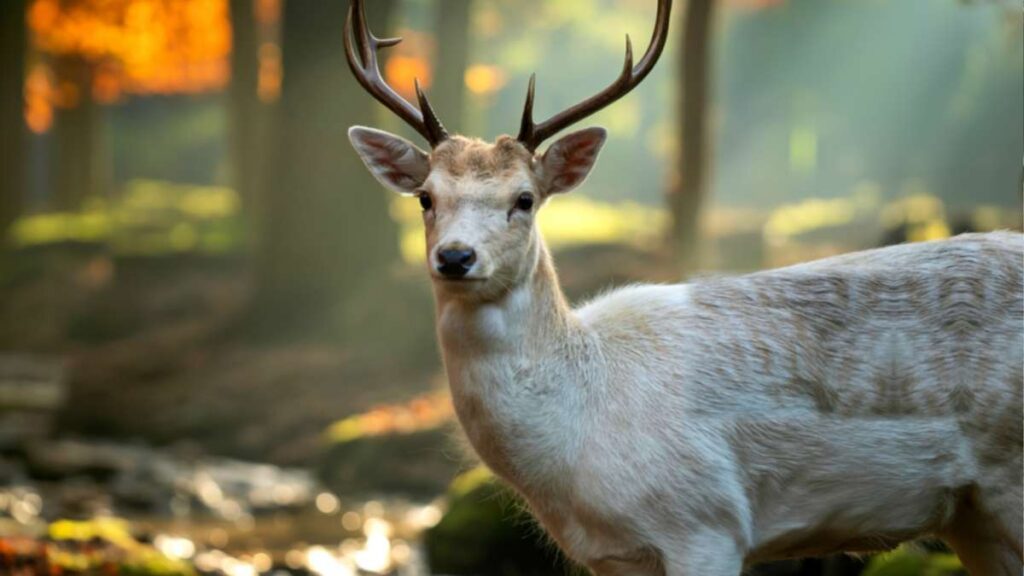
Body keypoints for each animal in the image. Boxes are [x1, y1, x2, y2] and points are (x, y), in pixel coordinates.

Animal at [342, 0, 1024, 573]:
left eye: (525, 198)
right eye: (425, 196)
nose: (455, 257)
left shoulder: (705, 522)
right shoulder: (613, 558)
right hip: (971, 516)